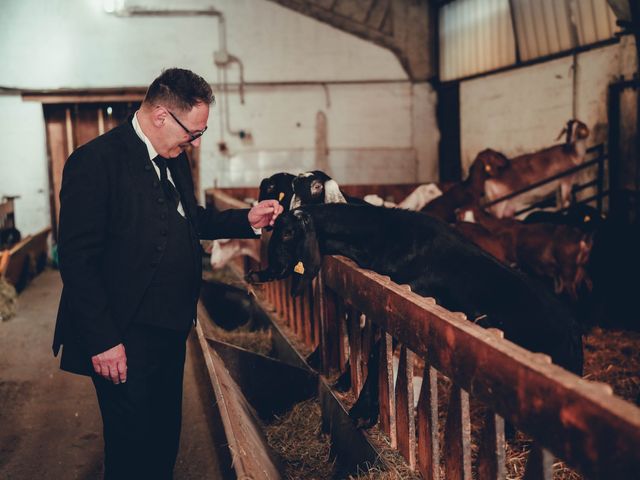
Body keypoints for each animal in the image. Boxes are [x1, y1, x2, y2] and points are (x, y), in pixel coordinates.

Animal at [249, 204, 584, 426]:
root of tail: (571, 325)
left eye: (288, 232)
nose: (264, 271)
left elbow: (376, 355)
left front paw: (363, 412)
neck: (384, 236)